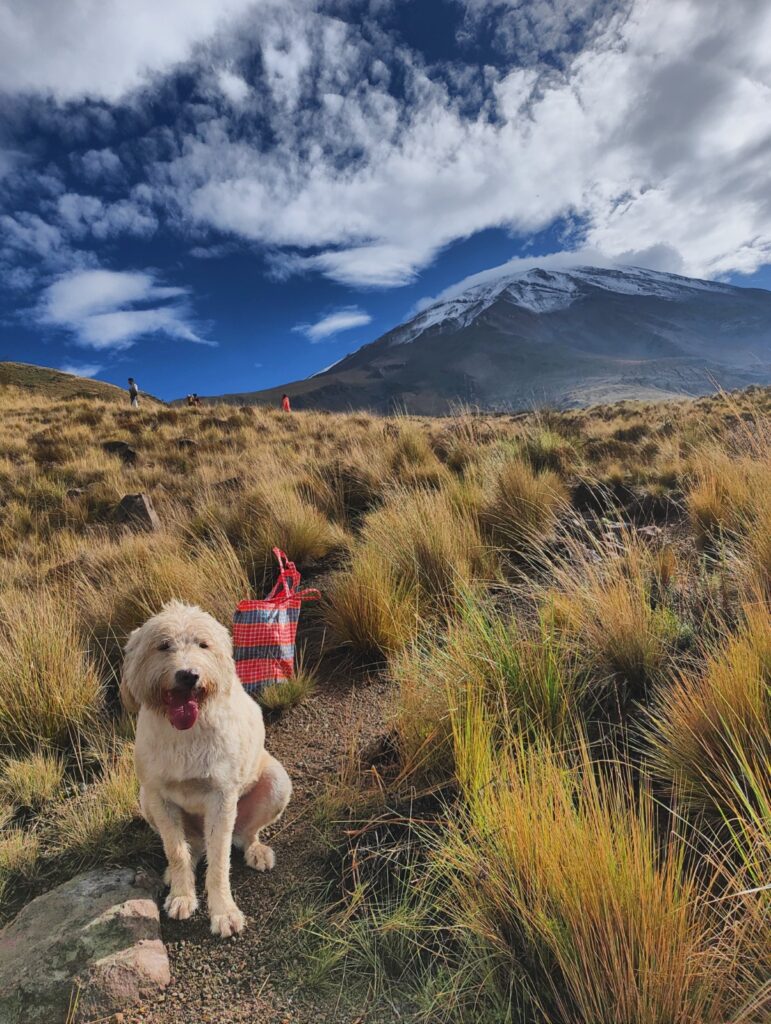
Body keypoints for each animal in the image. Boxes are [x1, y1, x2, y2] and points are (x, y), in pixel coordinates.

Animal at [121, 598, 292, 937]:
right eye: (163, 645)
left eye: (203, 644)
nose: (188, 675)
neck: (186, 732)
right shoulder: (159, 796)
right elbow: (176, 850)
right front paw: (183, 894)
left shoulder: (221, 799)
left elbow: (220, 859)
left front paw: (224, 911)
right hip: (145, 799)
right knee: (192, 847)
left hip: (276, 782)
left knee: (244, 835)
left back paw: (256, 850)